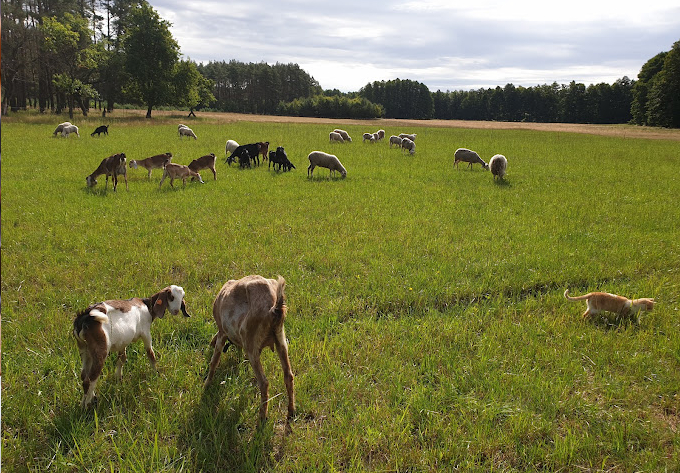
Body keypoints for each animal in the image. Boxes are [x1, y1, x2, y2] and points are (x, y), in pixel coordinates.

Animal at [205, 274, 294, 422]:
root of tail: (274, 307)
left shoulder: (222, 333)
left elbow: (214, 361)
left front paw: (206, 385)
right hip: (281, 340)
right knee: (289, 375)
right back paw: (291, 411)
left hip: (251, 344)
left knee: (264, 382)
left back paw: (262, 417)